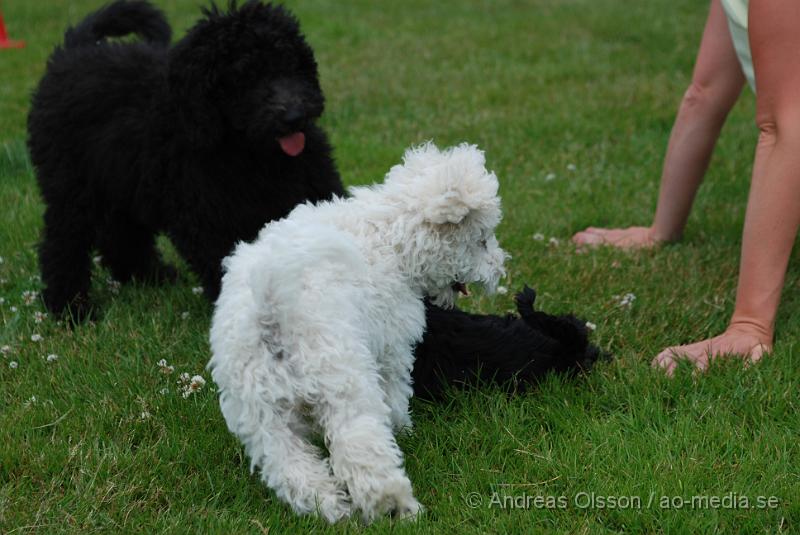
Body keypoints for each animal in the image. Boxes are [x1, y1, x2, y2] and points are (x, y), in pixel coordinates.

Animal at [26, 0, 600, 400]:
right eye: (244, 76)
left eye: (293, 65)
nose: (296, 113)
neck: (253, 155)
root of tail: (76, 48)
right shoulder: (213, 221)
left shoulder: (311, 191)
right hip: (71, 185)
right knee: (64, 240)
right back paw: (72, 307)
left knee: (122, 234)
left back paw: (146, 276)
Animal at [206, 142, 506, 524]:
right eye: (481, 241)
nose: (501, 269)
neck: (391, 234)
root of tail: (271, 307)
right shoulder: (392, 349)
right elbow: (396, 394)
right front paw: (404, 428)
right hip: (344, 384)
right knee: (359, 449)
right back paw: (394, 506)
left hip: (262, 412)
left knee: (289, 465)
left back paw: (331, 508)